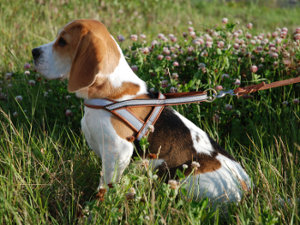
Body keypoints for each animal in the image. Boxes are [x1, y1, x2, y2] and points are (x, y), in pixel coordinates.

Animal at [32, 19, 251, 202]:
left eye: (62, 42)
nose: (34, 51)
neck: (110, 93)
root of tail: (245, 188)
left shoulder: (118, 150)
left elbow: (106, 186)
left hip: (183, 178)